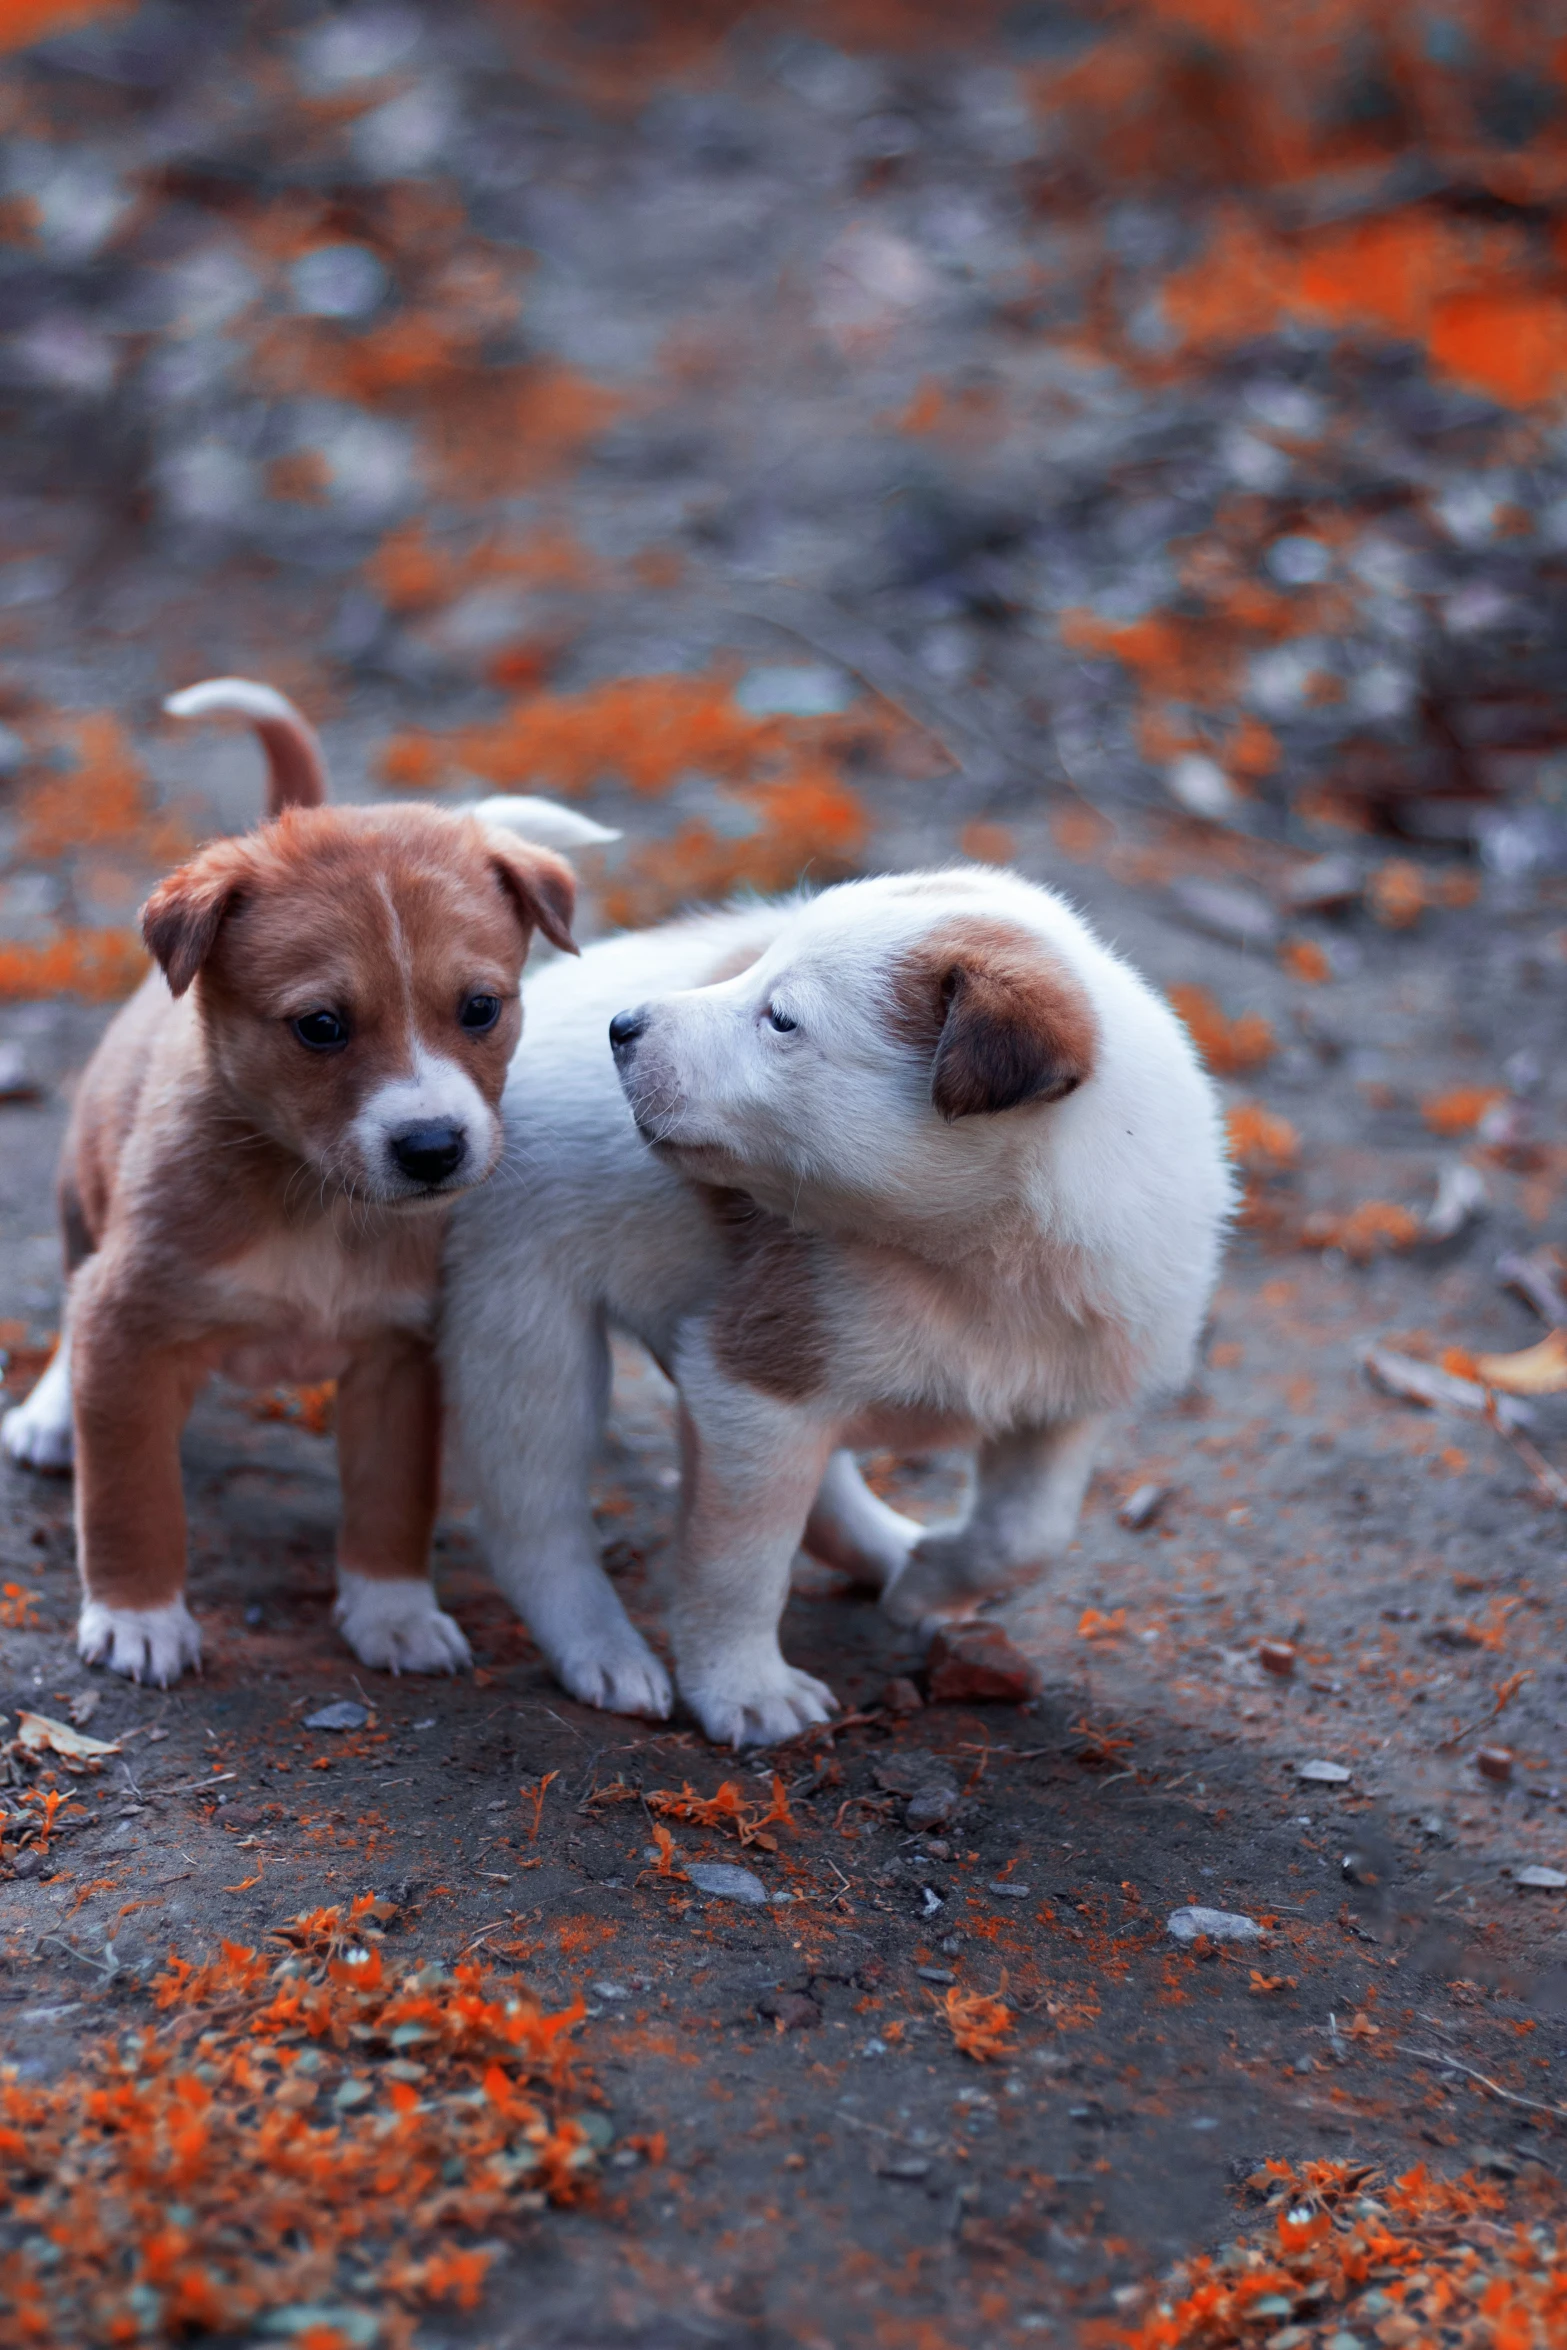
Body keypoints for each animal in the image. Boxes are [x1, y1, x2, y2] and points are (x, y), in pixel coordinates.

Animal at [4, 672, 610, 1682]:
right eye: (320, 1026)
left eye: (480, 1009)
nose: (432, 1146)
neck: (317, 1206)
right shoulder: (129, 1326)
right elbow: (131, 1497)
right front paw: (137, 1616)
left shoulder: (400, 1358)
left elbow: (392, 1500)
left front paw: (394, 1612)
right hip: (79, 1197)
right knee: (69, 1295)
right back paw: (50, 1416)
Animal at [444, 864, 1240, 1748]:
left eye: (781, 1018)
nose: (621, 1027)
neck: (973, 1259)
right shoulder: (754, 1385)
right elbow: (740, 1563)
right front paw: (745, 1689)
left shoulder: (1063, 1403)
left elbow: (1025, 1536)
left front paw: (928, 1585)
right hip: (525, 1330)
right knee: (536, 1523)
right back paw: (603, 1652)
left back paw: (892, 1553)